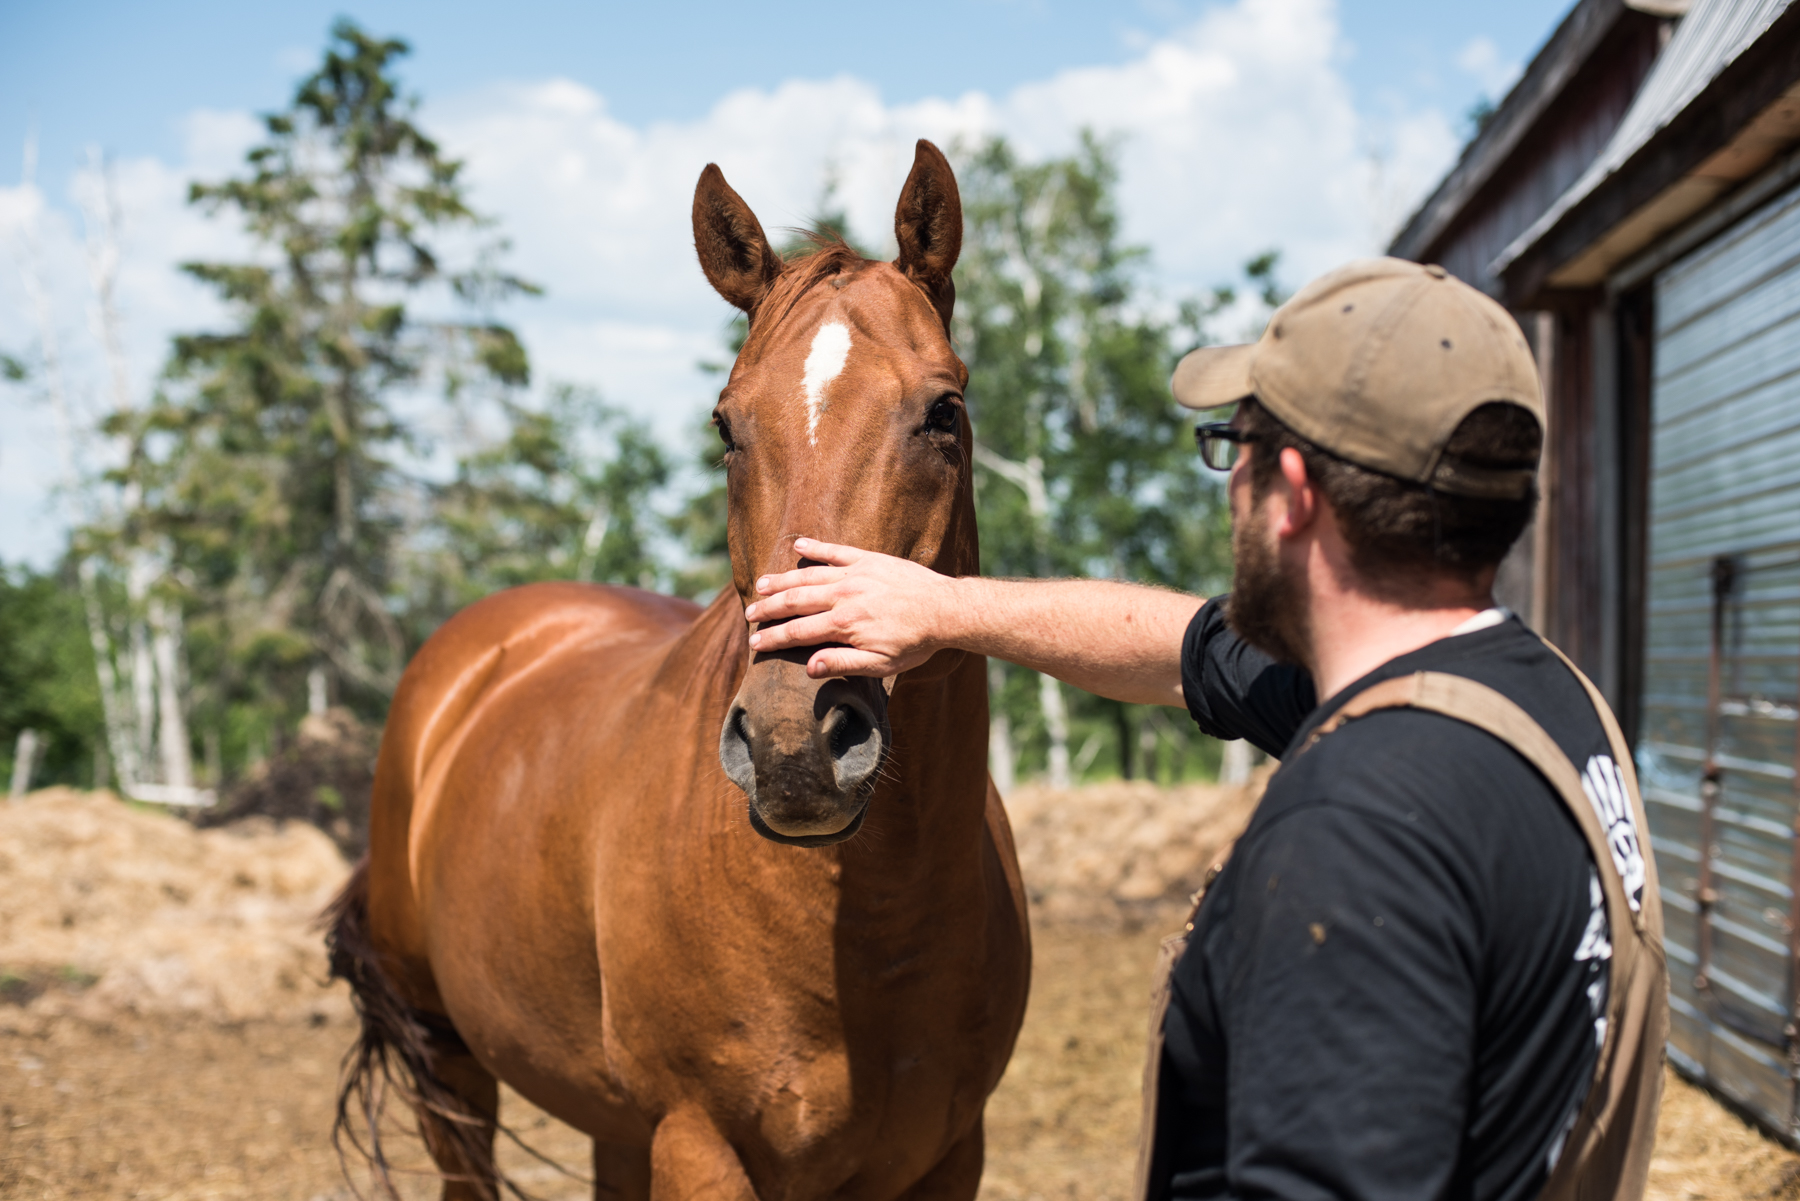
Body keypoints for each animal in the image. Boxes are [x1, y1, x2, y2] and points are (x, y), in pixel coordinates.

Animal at [324, 143, 1029, 1201]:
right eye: (726, 427)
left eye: (945, 411)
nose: (792, 745)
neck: (865, 934)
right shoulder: (698, 1143)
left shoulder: (950, 1154)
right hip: (451, 1066)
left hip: (615, 1124)